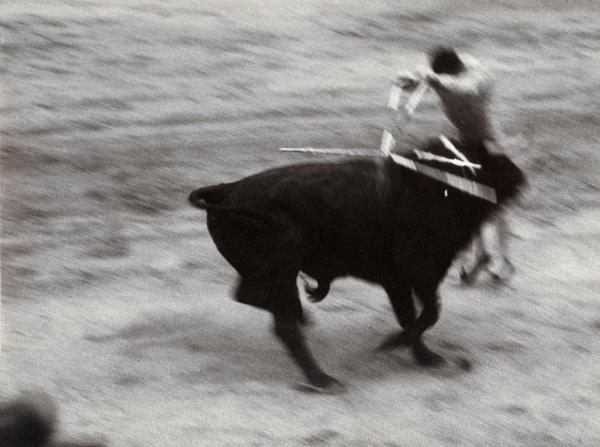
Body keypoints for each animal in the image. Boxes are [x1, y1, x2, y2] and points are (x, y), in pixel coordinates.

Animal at [188, 141, 524, 392]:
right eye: (488, 164)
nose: (519, 174)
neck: (435, 188)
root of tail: (228, 191)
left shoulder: (398, 281)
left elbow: (411, 316)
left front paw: (425, 357)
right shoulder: (419, 273)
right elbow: (429, 313)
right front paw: (393, 344)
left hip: (268, 272)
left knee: (248, 295)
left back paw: (304, 314)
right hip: (281, 267)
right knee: (282, 325)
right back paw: (321, 378)